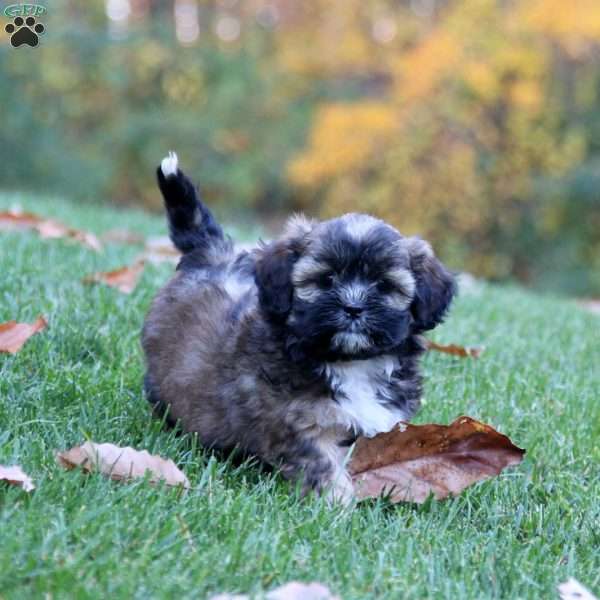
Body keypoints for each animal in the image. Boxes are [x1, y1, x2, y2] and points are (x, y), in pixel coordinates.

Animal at [142, 152, 454, 504]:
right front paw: (337, 503)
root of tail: (210, 256)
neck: (350, 364)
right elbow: (321, 462)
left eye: (384, 285)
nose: (353, 308)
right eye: (326, 279)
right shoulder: (294, 422)